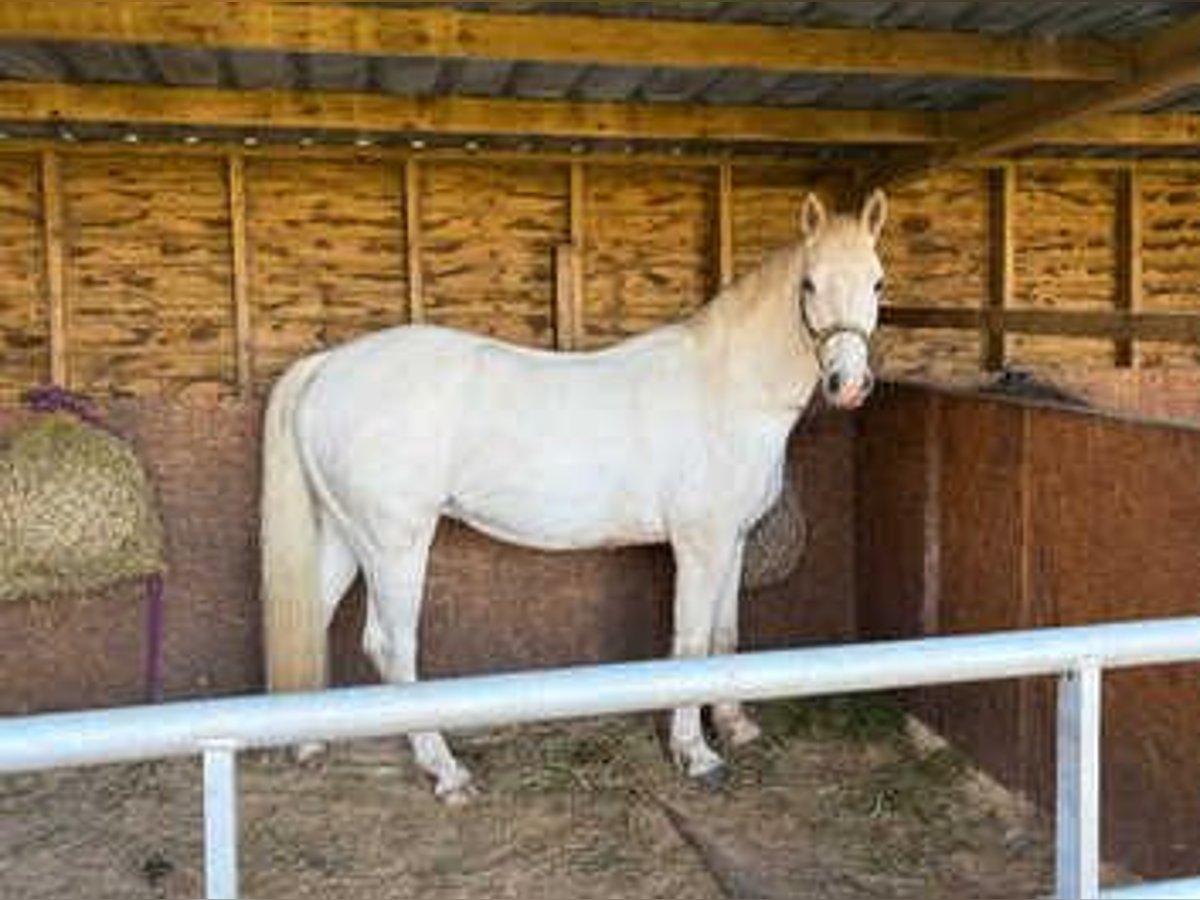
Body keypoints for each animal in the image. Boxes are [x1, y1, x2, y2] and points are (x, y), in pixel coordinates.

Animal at [261, 189, 888, 803]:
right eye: (809, 284)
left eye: (878, 282)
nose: (849, 385)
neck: (727, 387)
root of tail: (328, 366)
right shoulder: (699, 544)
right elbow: (690, 644)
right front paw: (696, 755)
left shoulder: (732, 542)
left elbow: (724, 636)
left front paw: (735, 726)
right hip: (395, 545)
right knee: (392, 646)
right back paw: (446, 772)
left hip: (348, 537)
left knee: (316, 618)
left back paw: (309, 744)